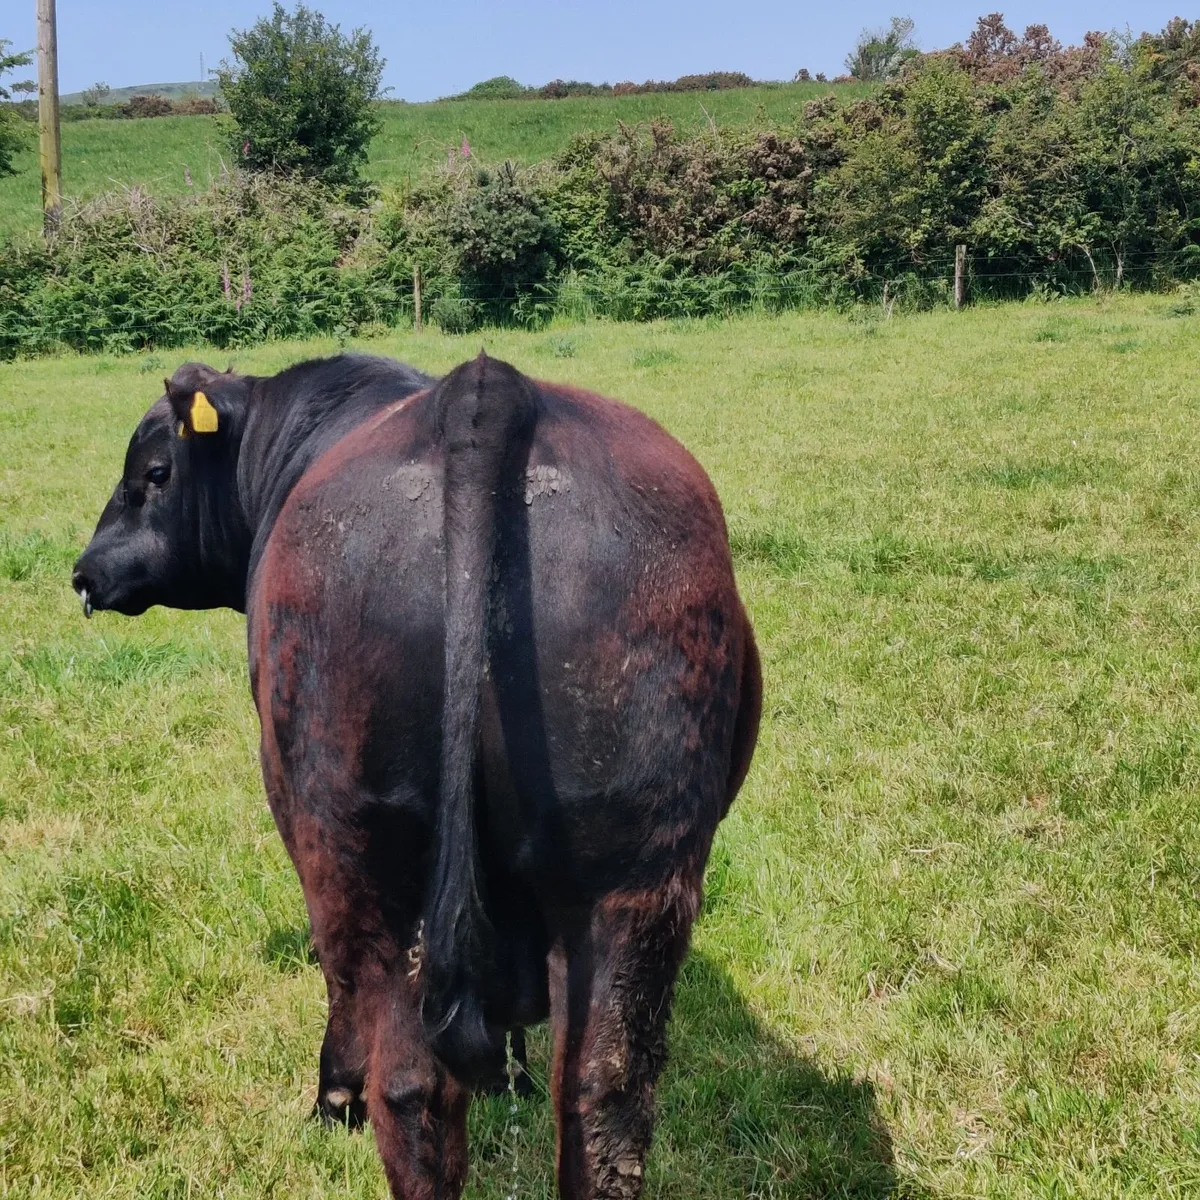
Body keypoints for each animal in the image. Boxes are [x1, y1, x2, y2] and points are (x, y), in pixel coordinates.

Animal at [72, 350, 762, 1199]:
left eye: (154, 472)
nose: (84, 573)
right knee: (605, 1094)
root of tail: (486, 392)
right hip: (634, 867)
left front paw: (335, 1100)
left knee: (409, 1084)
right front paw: (511, 1075)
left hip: (361, 851)